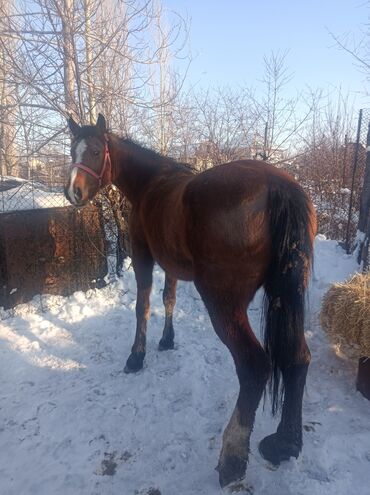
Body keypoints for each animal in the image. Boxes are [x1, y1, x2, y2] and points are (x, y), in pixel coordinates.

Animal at [65, 113, 316, 488]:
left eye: (96, 151)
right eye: (72, 150)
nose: (74, 192)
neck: (152, 183)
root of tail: (278, 188)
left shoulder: (143, 256)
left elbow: (143, 306)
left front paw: (136, 356)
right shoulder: (171, 264)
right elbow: (168, 299)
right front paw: (167, 340)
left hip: (223, 305)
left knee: (255, 365)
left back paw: (232, 459)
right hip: (287, 294)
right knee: (297, 358)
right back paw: (285, 444)